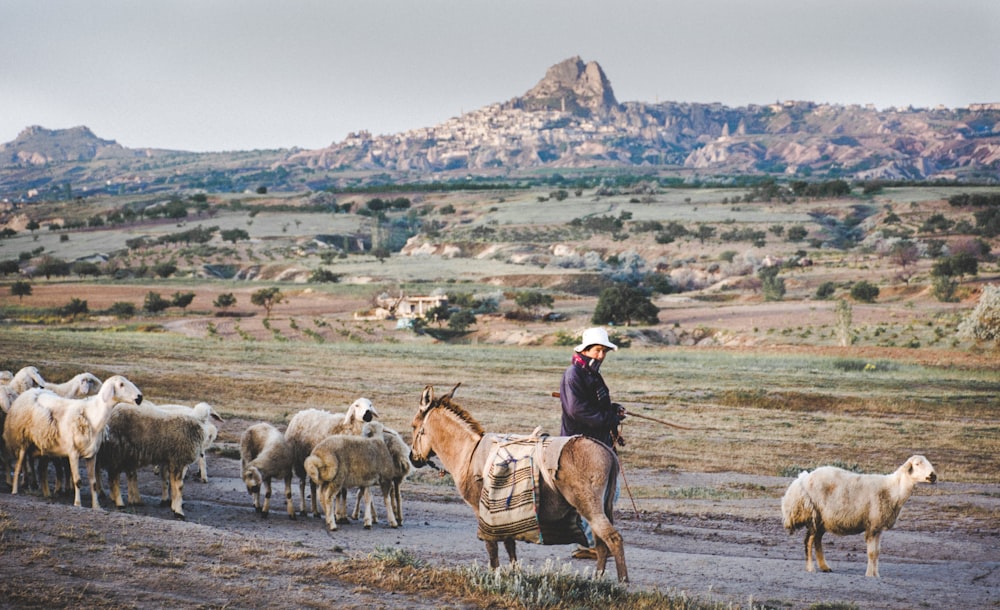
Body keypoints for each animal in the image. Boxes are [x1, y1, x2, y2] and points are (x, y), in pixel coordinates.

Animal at [2, 372, 143, 506]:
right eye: (121, 384)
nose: (140, 398)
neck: (92, 416)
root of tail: (31, 391)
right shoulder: (73, 453)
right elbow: (78, 480)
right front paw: (77, 503)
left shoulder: (91, 455)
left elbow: (93, 482)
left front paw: (96, 506)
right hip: (22, 442)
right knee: (18, 466)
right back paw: (14, 490)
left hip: (43, 445)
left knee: (42, 470)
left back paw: (46, 493)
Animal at [780, 454, 936, 576]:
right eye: (917, 464)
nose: (933, 476)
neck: (893, 490)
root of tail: (802, 479)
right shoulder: (872, 526)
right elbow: (871, 553)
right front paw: (869, 575)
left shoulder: (877, 526)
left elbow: (877, 552)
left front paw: (876, 574)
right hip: (813, 515)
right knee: (808, 541)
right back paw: (811, 568)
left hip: (823, 520)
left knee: (817, 540)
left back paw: (824, 566)